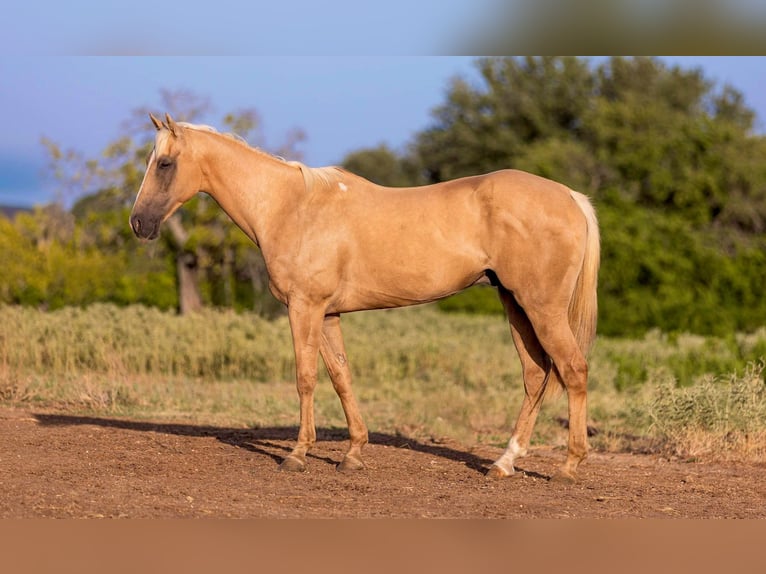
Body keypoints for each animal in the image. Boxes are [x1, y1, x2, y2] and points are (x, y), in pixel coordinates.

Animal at [130, 113, 600, 482]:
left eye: (165, 163)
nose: (138, 223)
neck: (291, 207)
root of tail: (570, 196)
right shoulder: (328, 314)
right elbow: (341, 377)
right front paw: (353, 454)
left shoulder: (304, 307)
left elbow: (305, 377)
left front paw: (297, 455)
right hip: (515, 304)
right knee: (536, 375)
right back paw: (504, 463)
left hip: (541, 308)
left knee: (573, 369)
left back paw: (568, 467)